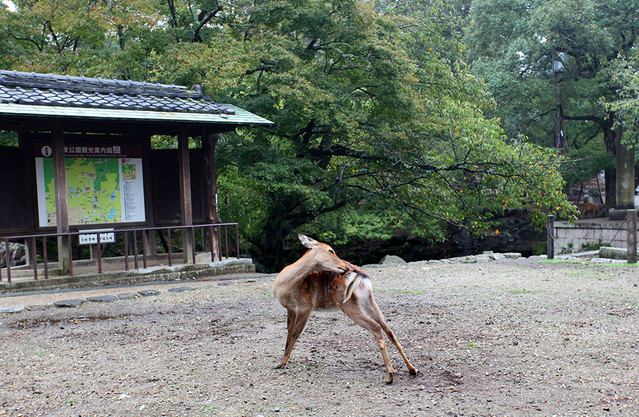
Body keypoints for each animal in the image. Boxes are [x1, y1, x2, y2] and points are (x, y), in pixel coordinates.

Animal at [274, 232, 420, 382]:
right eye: (330, 250)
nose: (344, 266)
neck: (285, 287)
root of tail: (361, 276)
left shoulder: (306, 307)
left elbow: (295, 333)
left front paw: (281, 363)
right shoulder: (290, 308)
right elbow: (289, 331)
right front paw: (283, 359)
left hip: (346, 303)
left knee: (376, 327)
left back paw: (390, 375)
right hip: (369, 300)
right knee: (388, 330)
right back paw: (412, 369)